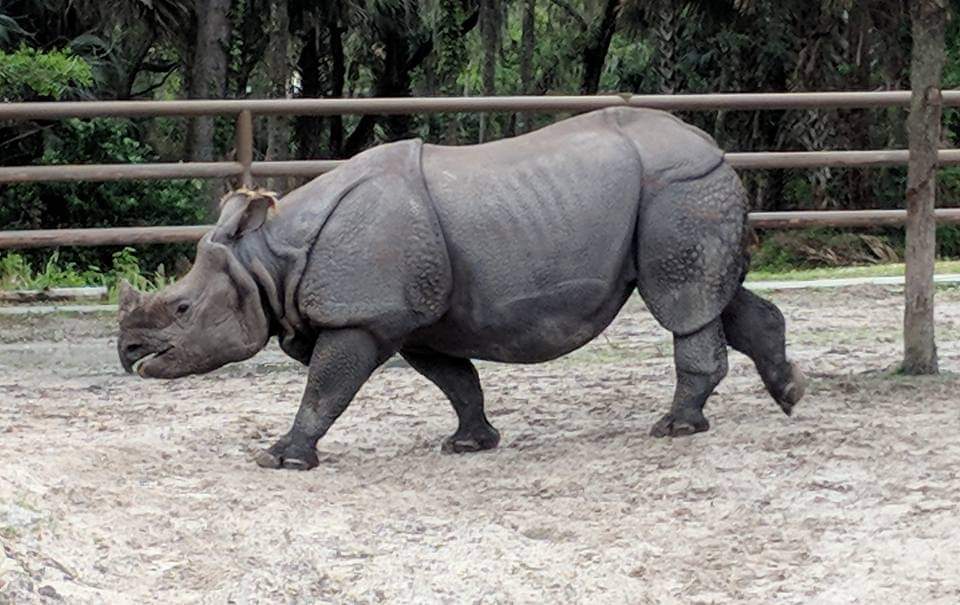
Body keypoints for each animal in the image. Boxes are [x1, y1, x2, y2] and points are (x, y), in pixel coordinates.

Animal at [118, 107, 805, 470]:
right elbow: (455, 380)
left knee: (682, 302)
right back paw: (790, 396)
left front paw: (281, 458)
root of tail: (714, 145)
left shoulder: (363, 316)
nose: (128, 354)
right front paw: (470, 444)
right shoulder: (416, 321)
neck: (268, 263)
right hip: (688, 194)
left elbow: (325, 389)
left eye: (181, 307)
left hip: (679, 191)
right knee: (718, 296)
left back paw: (675, 429)